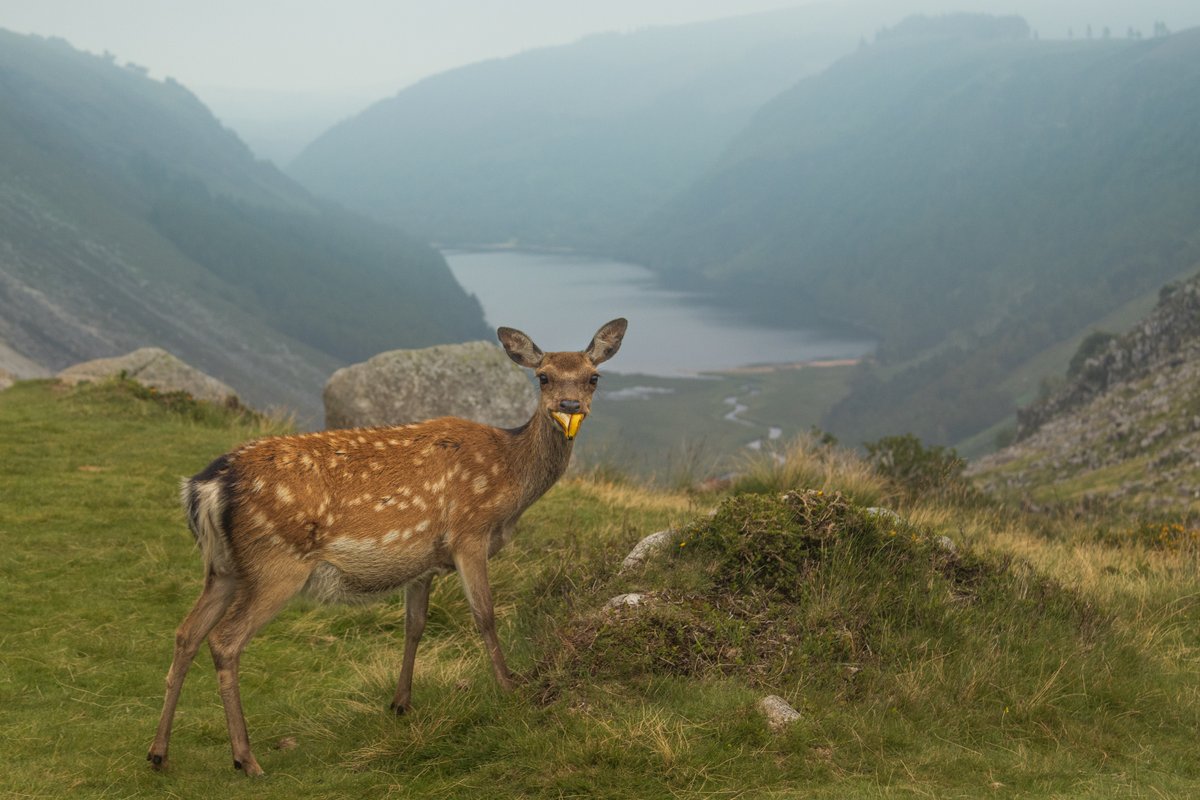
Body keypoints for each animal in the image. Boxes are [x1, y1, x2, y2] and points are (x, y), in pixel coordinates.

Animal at [147, 318, 626, 776]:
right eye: (543, 376)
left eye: (593, 377)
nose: (569, 407)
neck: (510, 481)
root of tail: (205, 486)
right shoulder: (468, 533)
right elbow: (485, 616)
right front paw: (510, 688)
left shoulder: (425, 560)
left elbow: (415, 625)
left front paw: (400, 703)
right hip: (275, 564)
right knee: (225, 640)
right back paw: (245, 759)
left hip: (223, 567)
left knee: (186, 633)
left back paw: (158, 753)